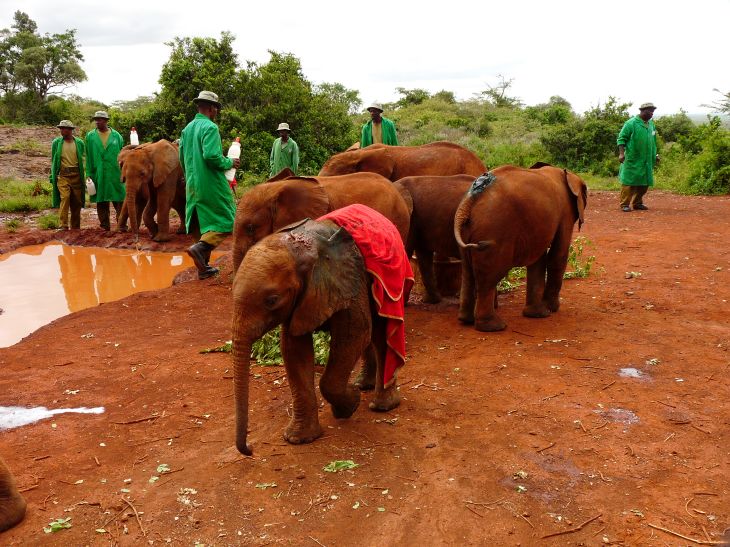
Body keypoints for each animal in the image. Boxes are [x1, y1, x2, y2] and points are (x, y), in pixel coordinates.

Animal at [231, 207, 411, 455]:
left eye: (272, 300)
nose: (249, 449)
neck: (300, 249)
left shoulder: (347, 279)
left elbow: (355, 333)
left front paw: (349, 405)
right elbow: (294, 347)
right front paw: (300, 439)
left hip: (392, 282)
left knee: (381, 330)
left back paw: (382, 405)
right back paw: (362, 385)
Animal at [453, 163, 587, 332]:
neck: (565, 173)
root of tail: (471, 197)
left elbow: (538, 259)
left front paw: (539, 314)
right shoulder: (565, 211)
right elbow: (558, 255)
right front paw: (552, 309)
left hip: (467, 229)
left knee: (467, 271)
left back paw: (466, 320)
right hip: (495, 230)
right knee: (489, 275)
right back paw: (495, 327)